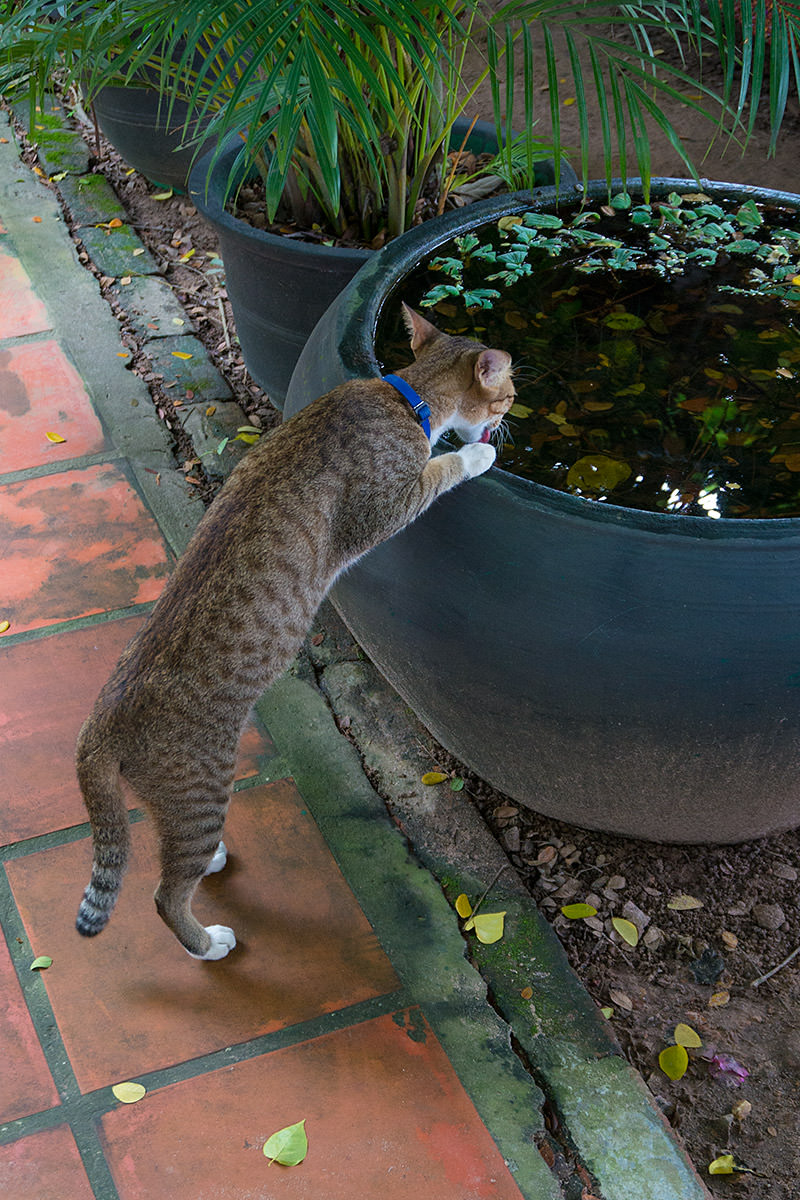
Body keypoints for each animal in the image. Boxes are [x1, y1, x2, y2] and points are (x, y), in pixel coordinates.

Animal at [73, 304, 513, 960]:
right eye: (507, 395)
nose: (504, 425)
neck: (404, 396)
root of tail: (100, 724)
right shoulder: (387, 506)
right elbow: (443, 467)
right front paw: (476, 459)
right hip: (202, 792)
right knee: (164, 893)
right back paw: (207, 941)